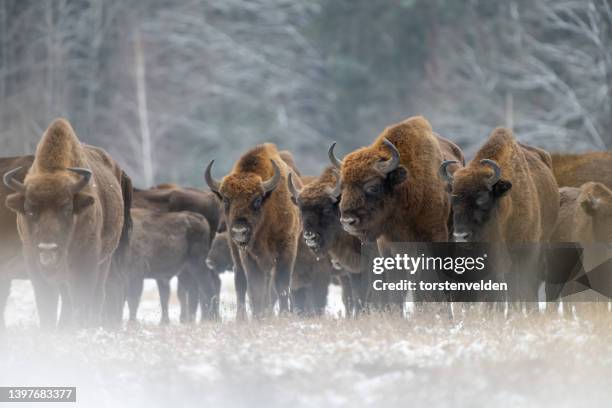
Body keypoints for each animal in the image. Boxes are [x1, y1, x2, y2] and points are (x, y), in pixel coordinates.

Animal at [3, 118, 129, 328]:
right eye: (29, 210)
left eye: (67, 209)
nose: (48, 249)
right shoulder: (32, 259)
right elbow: (46, 302)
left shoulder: (86, 259)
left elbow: (82, 298)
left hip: (106, 260)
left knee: (99, 294)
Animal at [206, 143, 302, 318]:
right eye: (226, 200)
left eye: (257, 200)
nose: (239, 231)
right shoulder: (248, 255)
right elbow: (254, 286)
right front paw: (258, 316)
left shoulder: (287, 249)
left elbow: (281, 285)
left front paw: (284, 315)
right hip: (236, 252)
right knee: (240, 282)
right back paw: (242, 318)